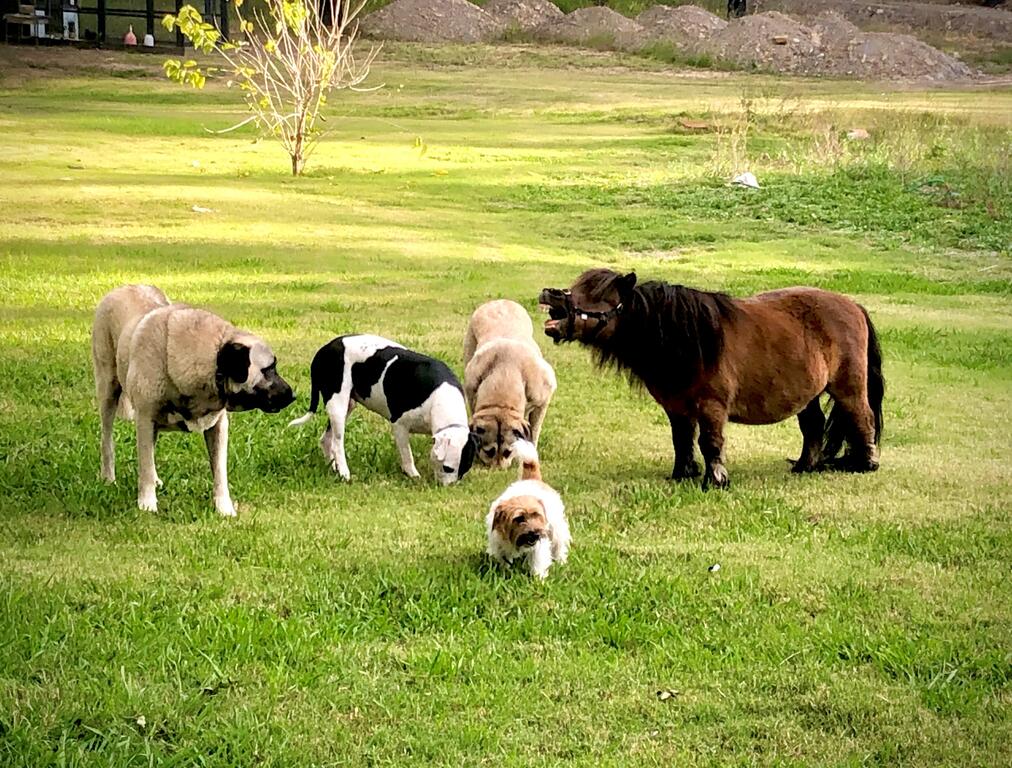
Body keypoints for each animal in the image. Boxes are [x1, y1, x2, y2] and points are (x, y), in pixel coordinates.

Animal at [287, 335, 479, 485]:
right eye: (448, 468)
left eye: (464, 469)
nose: (450, 487)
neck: (440, 398)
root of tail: (324, 349)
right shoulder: (400, 426)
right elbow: (407, 455)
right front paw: (412, 474)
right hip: (338, 405)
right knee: (337, 443)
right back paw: (344, 473)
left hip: (348, 405)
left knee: (326, 440)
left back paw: (333, 467)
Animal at [483, 441, 570, 578]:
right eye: (519, 518)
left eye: (536, 515)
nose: (535, 533)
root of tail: (531, 479)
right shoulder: (499, 544)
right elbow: (504, 561)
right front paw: (504, 573)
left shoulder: (539, 545)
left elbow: (537, 562)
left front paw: (539, 579)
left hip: (557, 529)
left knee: (559, 546)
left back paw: (561, 561)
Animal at [542, 267, 882, 489]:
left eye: (597, 296)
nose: (550, 294)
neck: (687, 336)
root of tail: (853, 305)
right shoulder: (676, 408)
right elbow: (681, 440)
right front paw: (682, 474)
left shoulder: (711, 406)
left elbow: (710, 442)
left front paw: (715, 479)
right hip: (807, 394)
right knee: (812, 426)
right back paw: (804, 467)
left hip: (847, 386)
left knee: (862, 417)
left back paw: (866, 464)